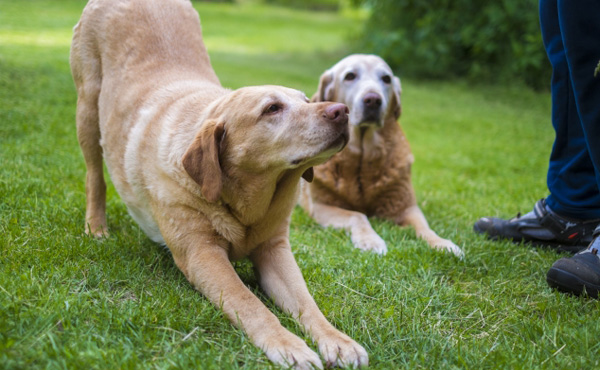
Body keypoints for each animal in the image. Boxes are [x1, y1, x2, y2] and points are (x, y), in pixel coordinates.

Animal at [68, 1, 368, 368]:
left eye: (307, 100)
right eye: (272, 108)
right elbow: (251, 305)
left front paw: (336, 340)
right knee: (93, 175)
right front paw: (288, 344)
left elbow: (307, 303)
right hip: (87, 108)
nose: (343, 111)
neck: (245, 200)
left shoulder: (275, 249)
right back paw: (96, 227)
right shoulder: (203, 255)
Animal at [300, 54, 464, 258]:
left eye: (386, 79)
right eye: (350, 76)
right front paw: (370, 239)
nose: (373, 100)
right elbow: (358, 215)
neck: (362, 159)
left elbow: (425, 228)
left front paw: (442, 243)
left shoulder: (406, 206)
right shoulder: (321, 206)